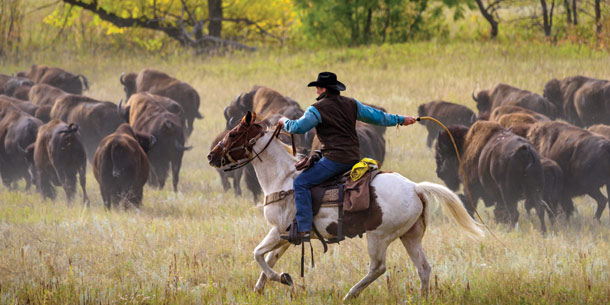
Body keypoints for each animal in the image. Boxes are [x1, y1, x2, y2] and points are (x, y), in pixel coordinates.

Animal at [207, 111, 482, 300]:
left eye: (233, 134)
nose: (211, 156)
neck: (282, 179)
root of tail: (415, 187)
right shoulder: (285, 236)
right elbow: (269, 259)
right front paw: (263, 287)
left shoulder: (278, 230)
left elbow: (258, 254)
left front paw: (283, 278)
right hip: (410, 236)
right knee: (423, 268)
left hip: (378, 237)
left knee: (378, 268)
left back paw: (350, 294)